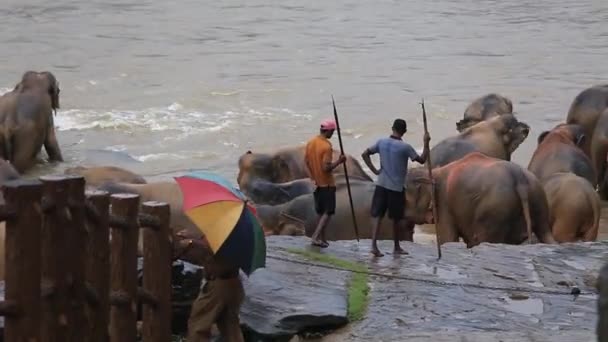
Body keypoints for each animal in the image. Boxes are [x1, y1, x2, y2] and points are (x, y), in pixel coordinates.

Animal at [404, 152, 556, 246]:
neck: (431, 172)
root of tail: (518, 177)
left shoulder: (444, 205)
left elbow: (447, 239)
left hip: (495, 210)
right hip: (538, 196)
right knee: (545, 233)